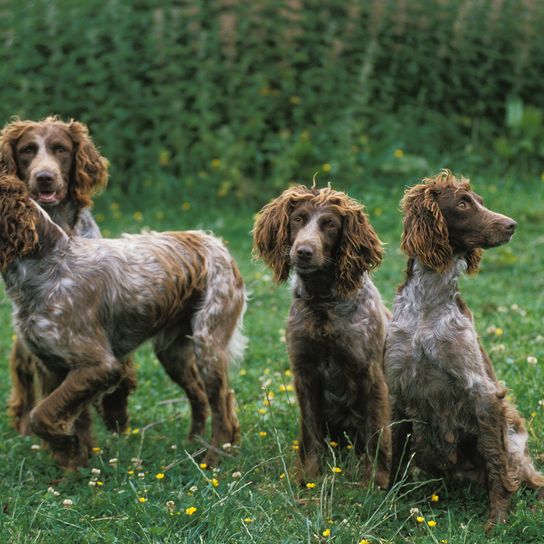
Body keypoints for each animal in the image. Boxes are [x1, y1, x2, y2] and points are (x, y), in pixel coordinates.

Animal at [0, 175, 244, 472]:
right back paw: (193, 444)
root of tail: (215, 241)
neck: (45, 263)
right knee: (199, 397)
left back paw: (211, 461)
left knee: (224, 411)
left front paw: (67, 447)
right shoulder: (54, 367)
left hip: (207, 345)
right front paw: (73, 468)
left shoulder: (100, 365)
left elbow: (41, 415)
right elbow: (74, 422)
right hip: (172, 353)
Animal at [254, 185, 392, 486]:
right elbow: (309, 434)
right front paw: (308, 477)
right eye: (297, 219)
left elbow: (377, 433)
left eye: (330, 224)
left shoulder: (371, 373)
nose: (303, 251)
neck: (323, 304)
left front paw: (376, 481)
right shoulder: (304, 372)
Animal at [384, 171, 540, 532]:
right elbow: (396, 457)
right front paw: (386, 503)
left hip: (514, 441)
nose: (511, 225)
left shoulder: (483, 394)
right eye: (464, 204)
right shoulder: (398, 390)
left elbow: (498, 466)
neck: (427, 308)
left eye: (480, 200)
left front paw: (497, 519)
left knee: (526, 476)